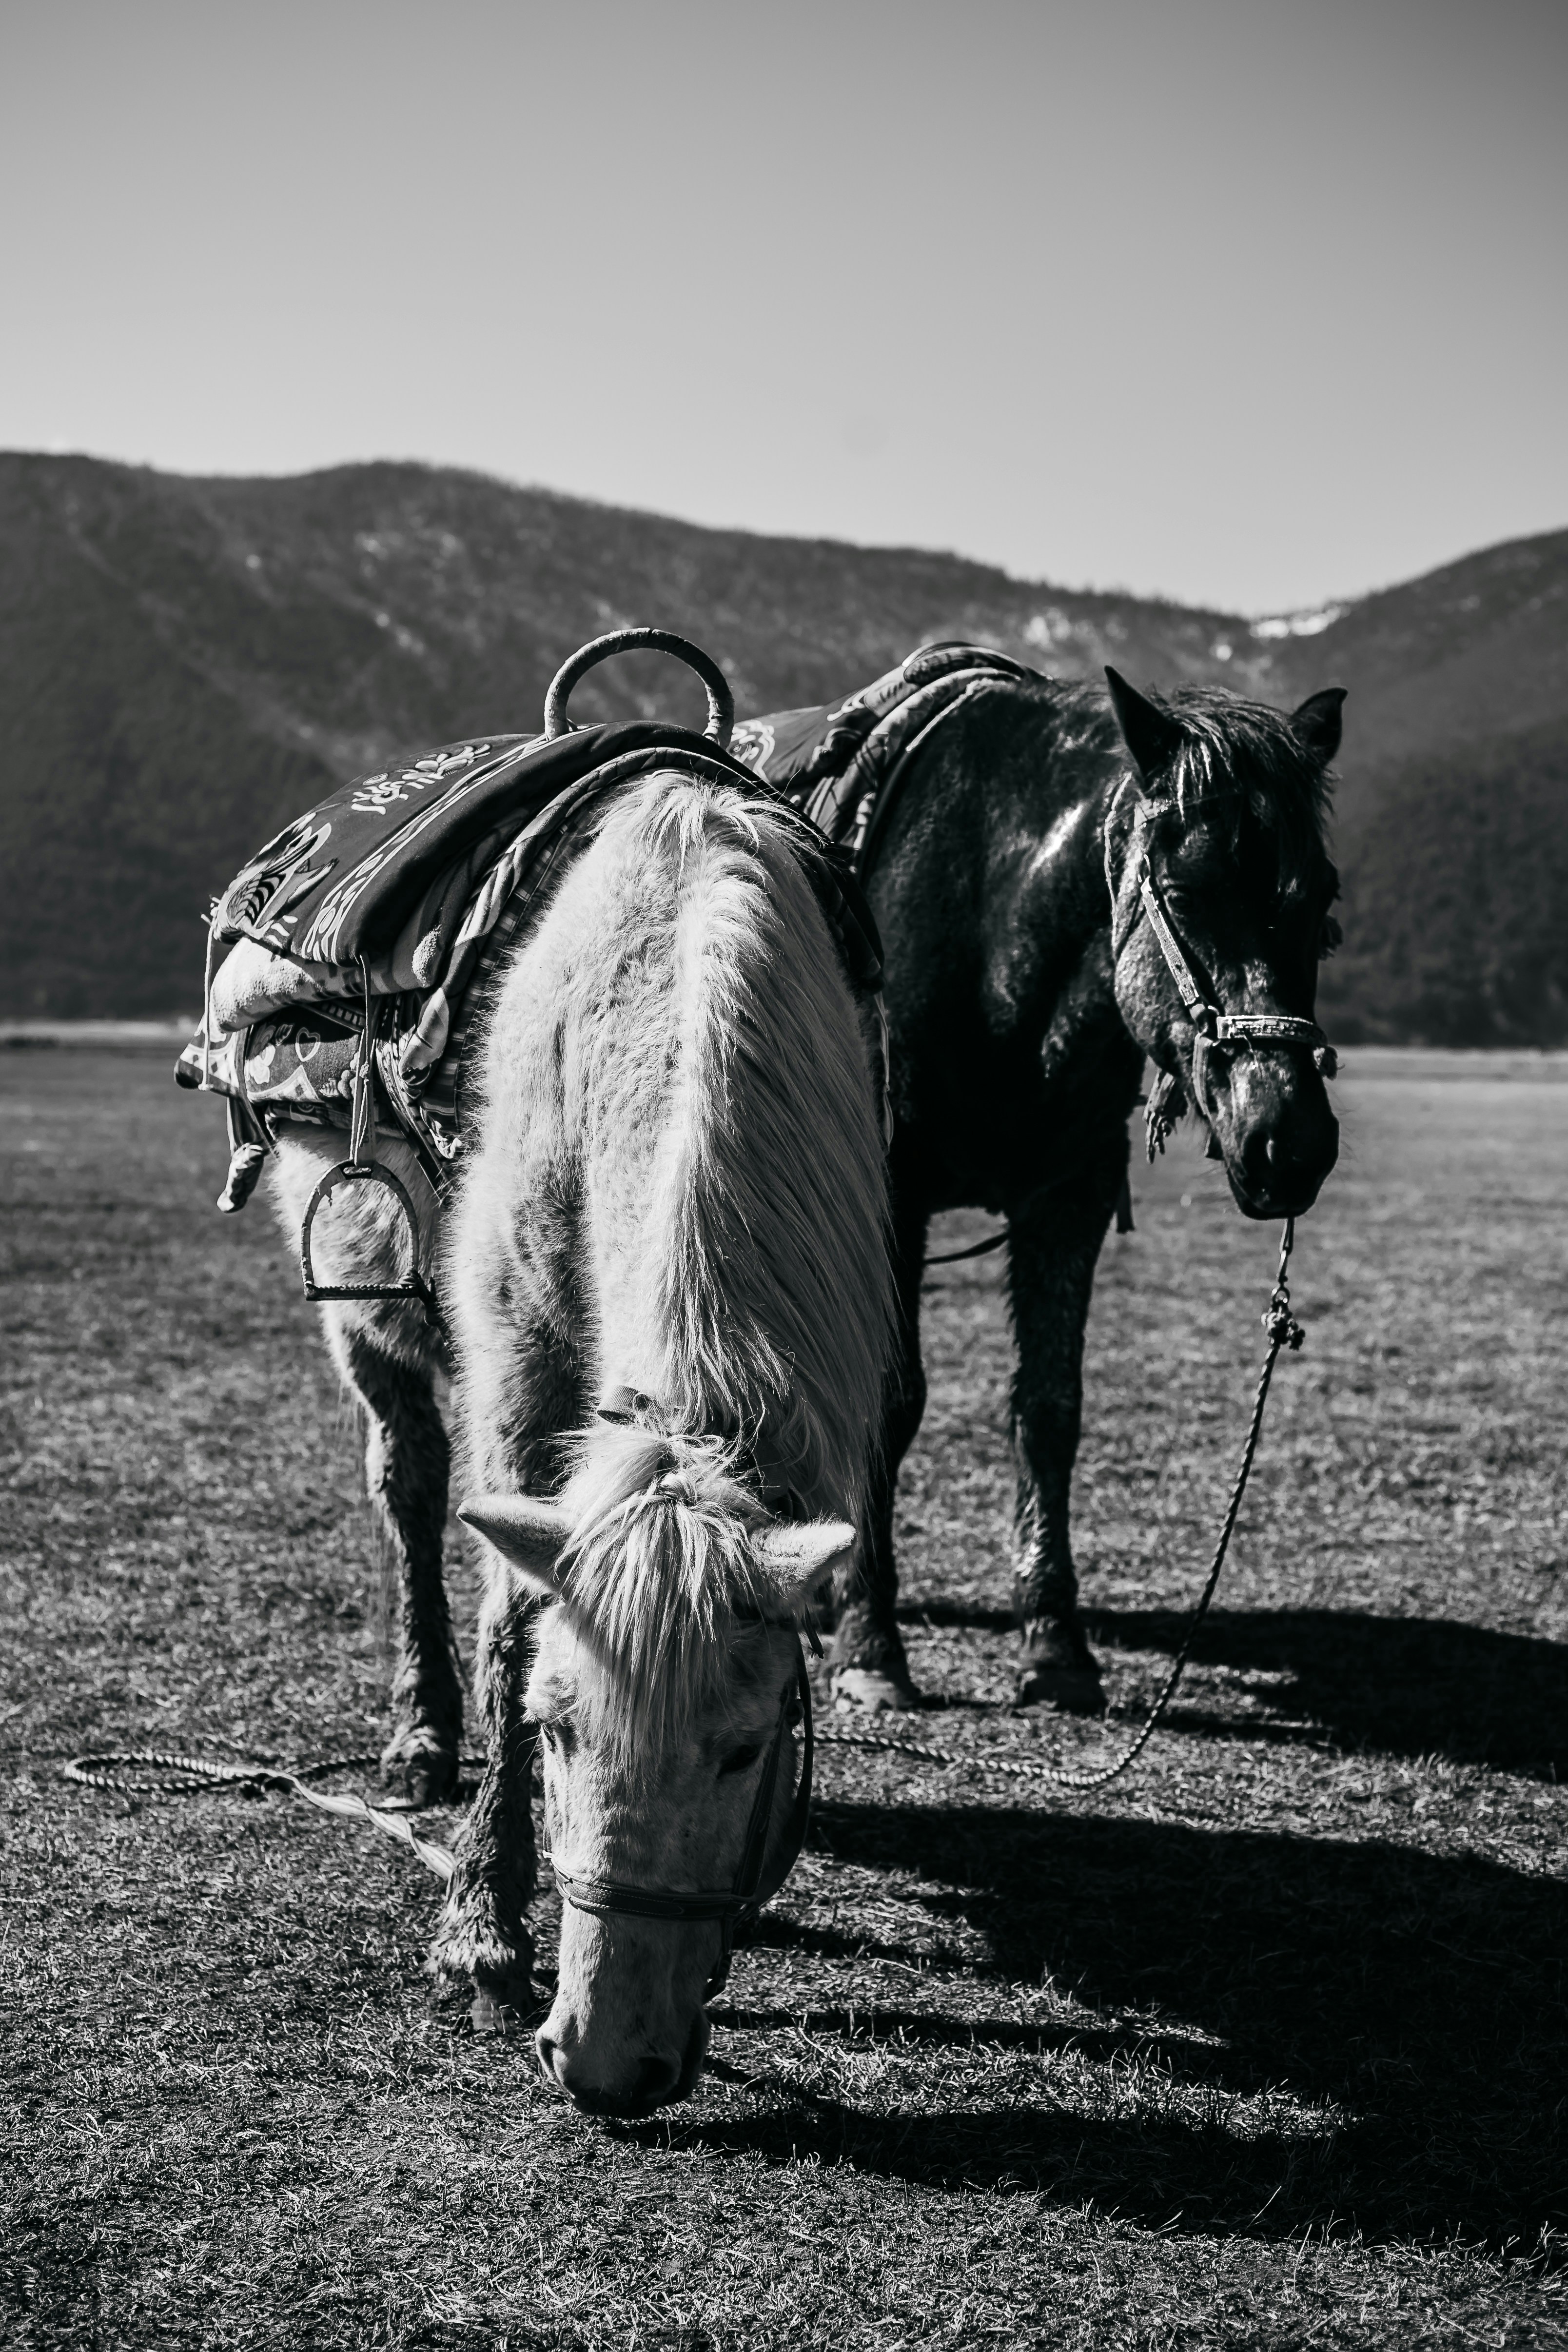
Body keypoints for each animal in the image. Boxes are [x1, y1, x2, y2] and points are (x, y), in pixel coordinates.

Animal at [265, 768, 894, 2112]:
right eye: (557, 1729)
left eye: (747, 1747)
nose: (608, 2063)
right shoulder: (515, 1362)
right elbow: (508, 1613)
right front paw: (478, 1938)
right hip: (365, 1310)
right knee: (407, 1487)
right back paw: (417, 1739)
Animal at [745, 661, 1345, 1715]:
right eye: (1182, 890)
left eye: (1322, 897)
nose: (1291, 1143)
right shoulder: (892, 1197)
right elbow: (892, 1400)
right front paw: (870, 1641)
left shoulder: (1068, 1199)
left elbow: (1049, 1408)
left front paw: (1055, 1640)